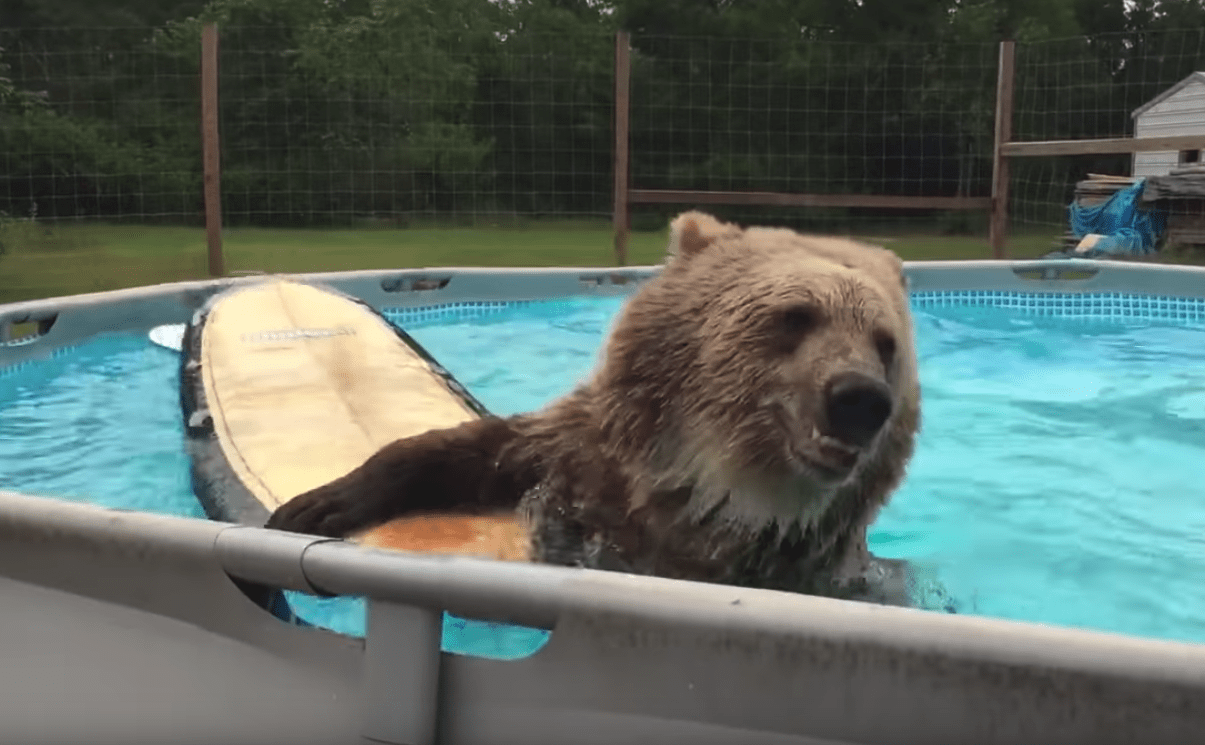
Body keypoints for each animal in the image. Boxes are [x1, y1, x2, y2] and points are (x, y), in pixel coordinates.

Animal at [265, 211, 923, 606]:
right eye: (796, 316)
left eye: (884, 343)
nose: (860, 399)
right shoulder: (582, 459)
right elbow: (470, 451)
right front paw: (315, 505)